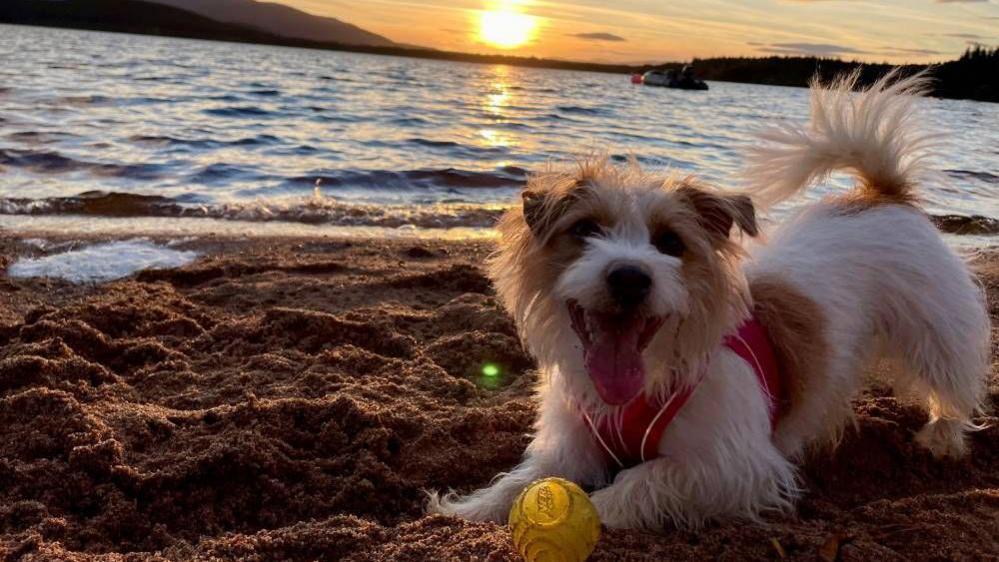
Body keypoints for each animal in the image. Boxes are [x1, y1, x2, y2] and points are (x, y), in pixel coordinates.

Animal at [426, 71, 988, 528]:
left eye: (670, 243)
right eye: (584, 231)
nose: (629, 277)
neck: (645, 382)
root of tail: (880, 196)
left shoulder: (732, 466)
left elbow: (637, 483)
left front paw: (590, 511)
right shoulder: (568, 450)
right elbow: (523, 481)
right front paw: (470, 509)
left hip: (935, 332)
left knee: (952, 383)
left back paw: (942, 436)